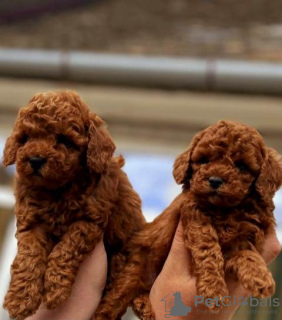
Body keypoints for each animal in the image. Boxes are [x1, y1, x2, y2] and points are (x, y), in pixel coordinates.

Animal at [2, 90, 145, 320]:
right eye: (26, 138)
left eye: (63, 140)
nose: (35, 160)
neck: (58, 189)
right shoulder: (31, 221)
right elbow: (29, 256)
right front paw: (20, 298)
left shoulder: (89, 220)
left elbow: (65, 249)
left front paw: (55, 289)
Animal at [93, 120, 282, 320]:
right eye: (205, 160)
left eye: (242, 166)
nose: (215, 180)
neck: (225, 209)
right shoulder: (193, 214)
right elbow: (207, 247)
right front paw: (214, 290)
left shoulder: (248, 234)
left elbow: (245, 254)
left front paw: (259, 277)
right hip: (135, 268)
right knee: (116, 297)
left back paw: (145, 306)